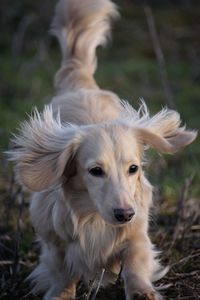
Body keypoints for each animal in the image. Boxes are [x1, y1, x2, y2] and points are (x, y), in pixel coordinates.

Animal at [7, 0, 197, 300]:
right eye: (95, 171)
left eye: (133, 168)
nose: (125, 214)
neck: (93, 219)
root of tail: (80, 80)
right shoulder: (54, 242)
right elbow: (62, 271)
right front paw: (62, 293)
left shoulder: (137, 233)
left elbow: (135, 261)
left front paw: (141, 291)